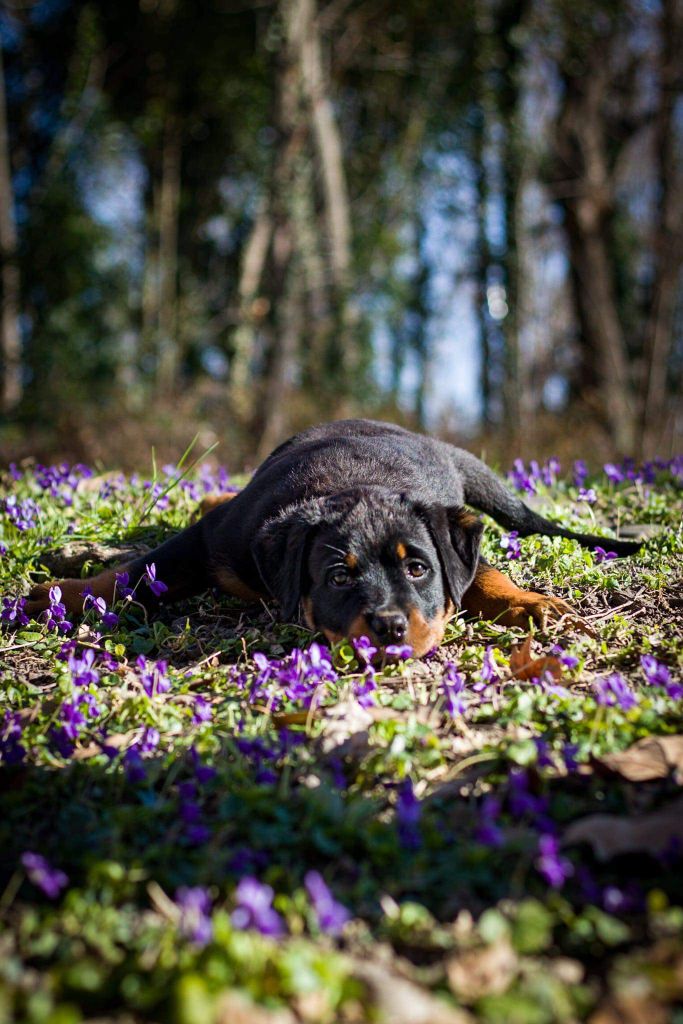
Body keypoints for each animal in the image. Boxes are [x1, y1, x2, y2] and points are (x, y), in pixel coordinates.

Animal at [22, 417, 643, 651]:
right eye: (338, 576)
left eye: (418, 568)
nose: (389, 626)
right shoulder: (214, 539)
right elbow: (135, 573)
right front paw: (59, 598)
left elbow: (482, 575)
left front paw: (531, 604)